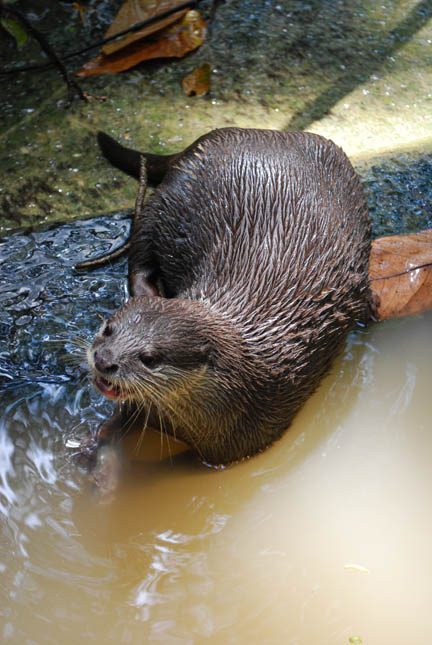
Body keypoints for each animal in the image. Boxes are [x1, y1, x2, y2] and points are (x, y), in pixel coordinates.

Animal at [85, 128, 372, 465]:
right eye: (108, 329)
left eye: (149, 358)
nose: (104, 360)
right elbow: (117, 423)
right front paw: (93, 449)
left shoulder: (243, 439)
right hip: (169, 197)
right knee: (139, 252)